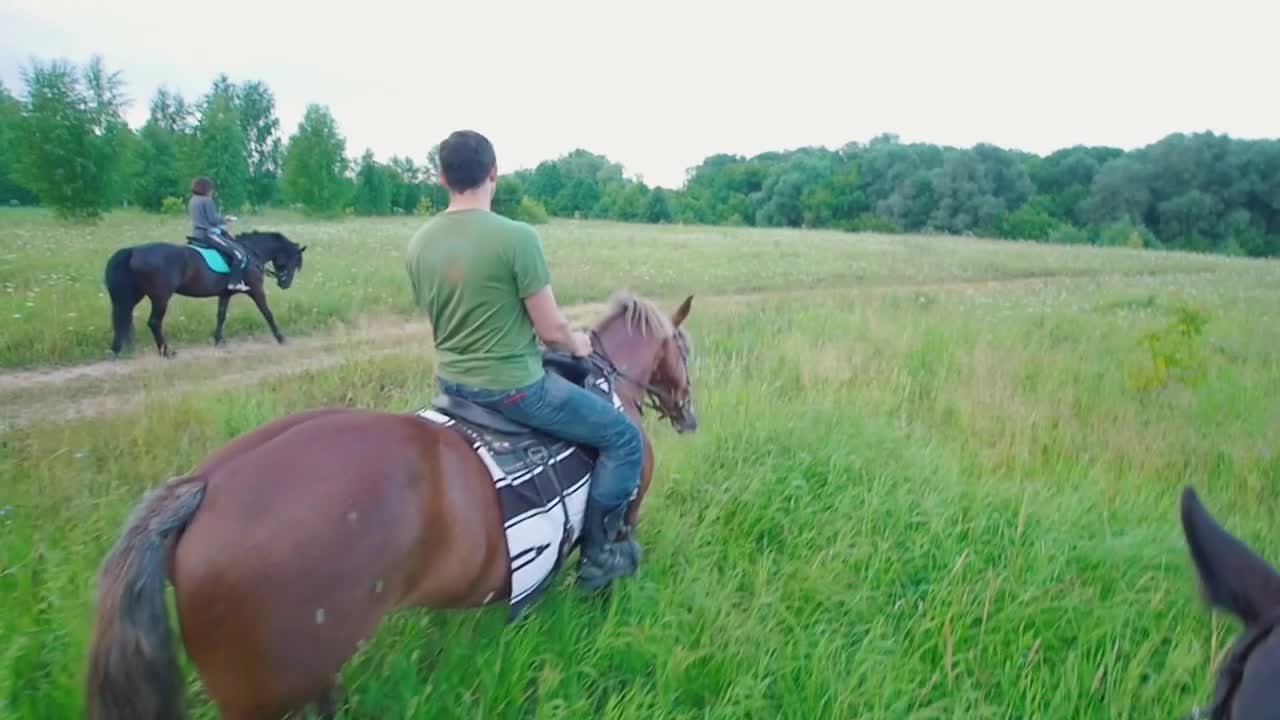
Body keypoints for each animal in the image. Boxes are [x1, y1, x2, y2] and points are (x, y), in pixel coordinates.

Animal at [85, 292, 701, 717]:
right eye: (687, 350)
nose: (688, 414)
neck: (610, 389)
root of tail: (204, 485)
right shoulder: (623, 513)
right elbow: (605, 568)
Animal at [103, 230, 305, 356]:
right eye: (294, 262)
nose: (285, 284)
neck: (250, 253)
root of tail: (133, 250)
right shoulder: (256, 290)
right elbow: (267, 313)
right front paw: (281, 338)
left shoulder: (224, 294)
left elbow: (221, 316)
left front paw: (218, 340)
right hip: (160, 298)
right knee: (153, 322)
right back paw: (166, 352)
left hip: (133, 296)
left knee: (121, 316)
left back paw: (117, 350)